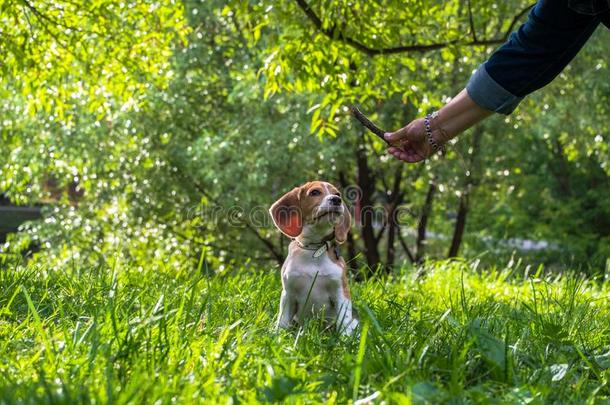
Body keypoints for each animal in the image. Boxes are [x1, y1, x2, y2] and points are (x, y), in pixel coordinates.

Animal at [270, 181, 356, 334]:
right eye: (315, 192)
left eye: (337, 193)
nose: (336, 200)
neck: (314, 248)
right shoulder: (288, 293)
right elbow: (283, 320)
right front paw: (278, 336)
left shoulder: (341, 292)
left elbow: (344, 322)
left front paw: (346, 339)